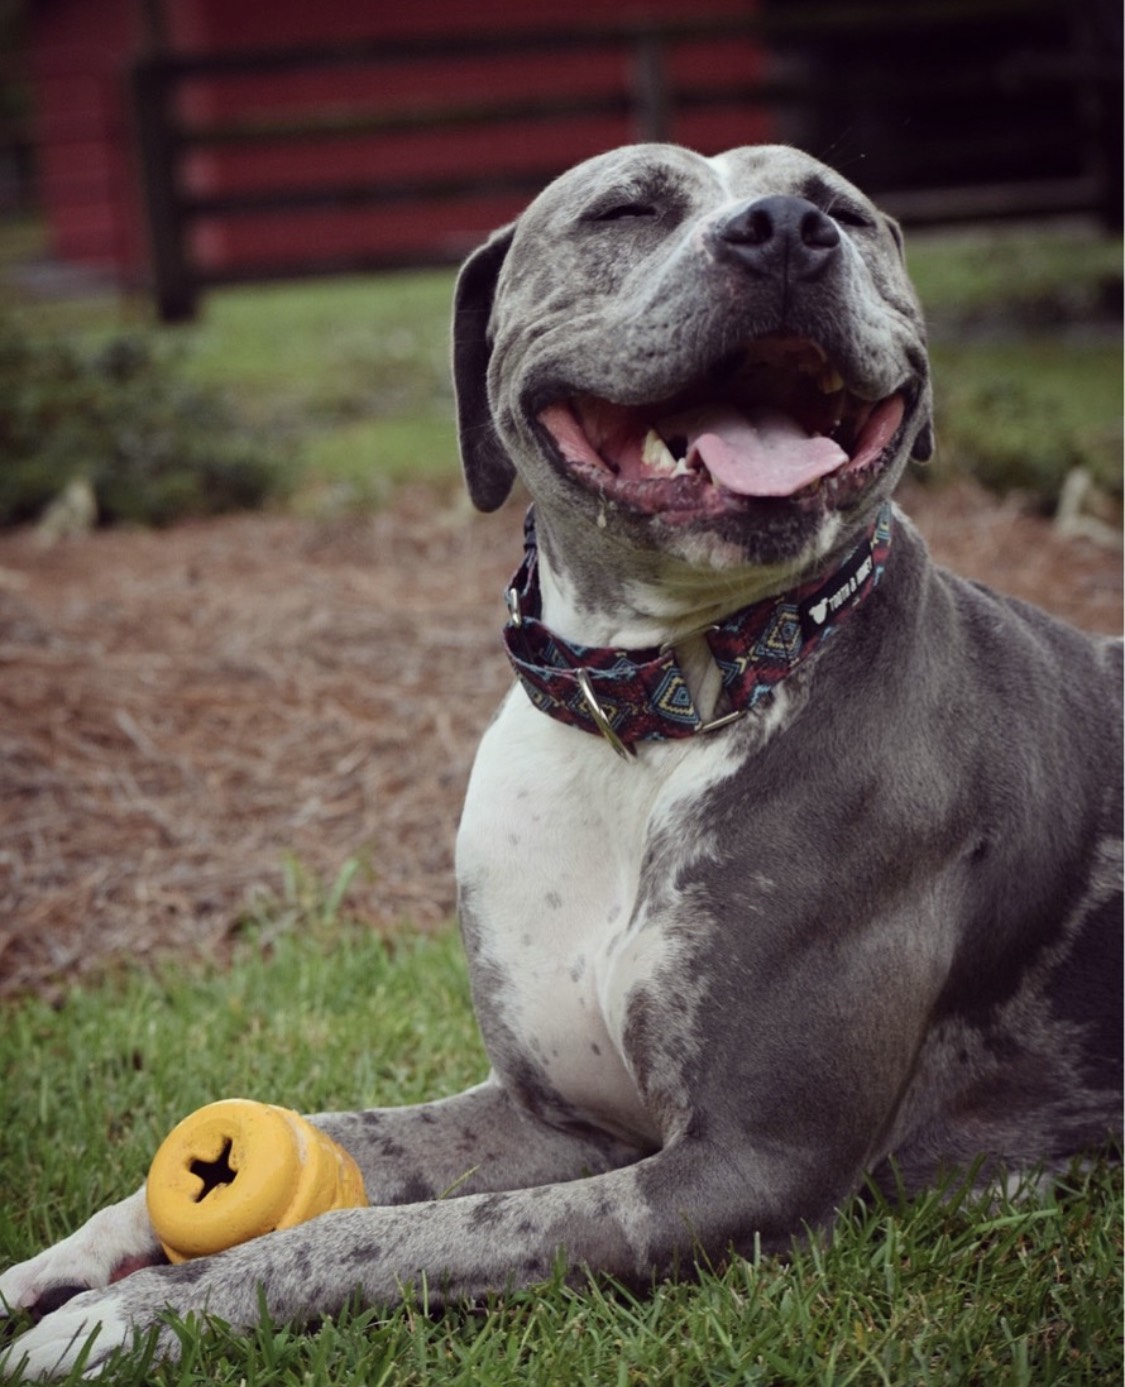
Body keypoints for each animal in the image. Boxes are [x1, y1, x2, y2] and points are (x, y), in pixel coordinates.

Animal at [2, 146, 1125, 1381]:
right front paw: (83, 1251)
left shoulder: (742, 1167)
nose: (785, 229)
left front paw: (152, 1308)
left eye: (842, 209)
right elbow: (348, 1136)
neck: (655, 707)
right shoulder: (550, 1116)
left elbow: (382, 1235)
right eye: (625, 207)